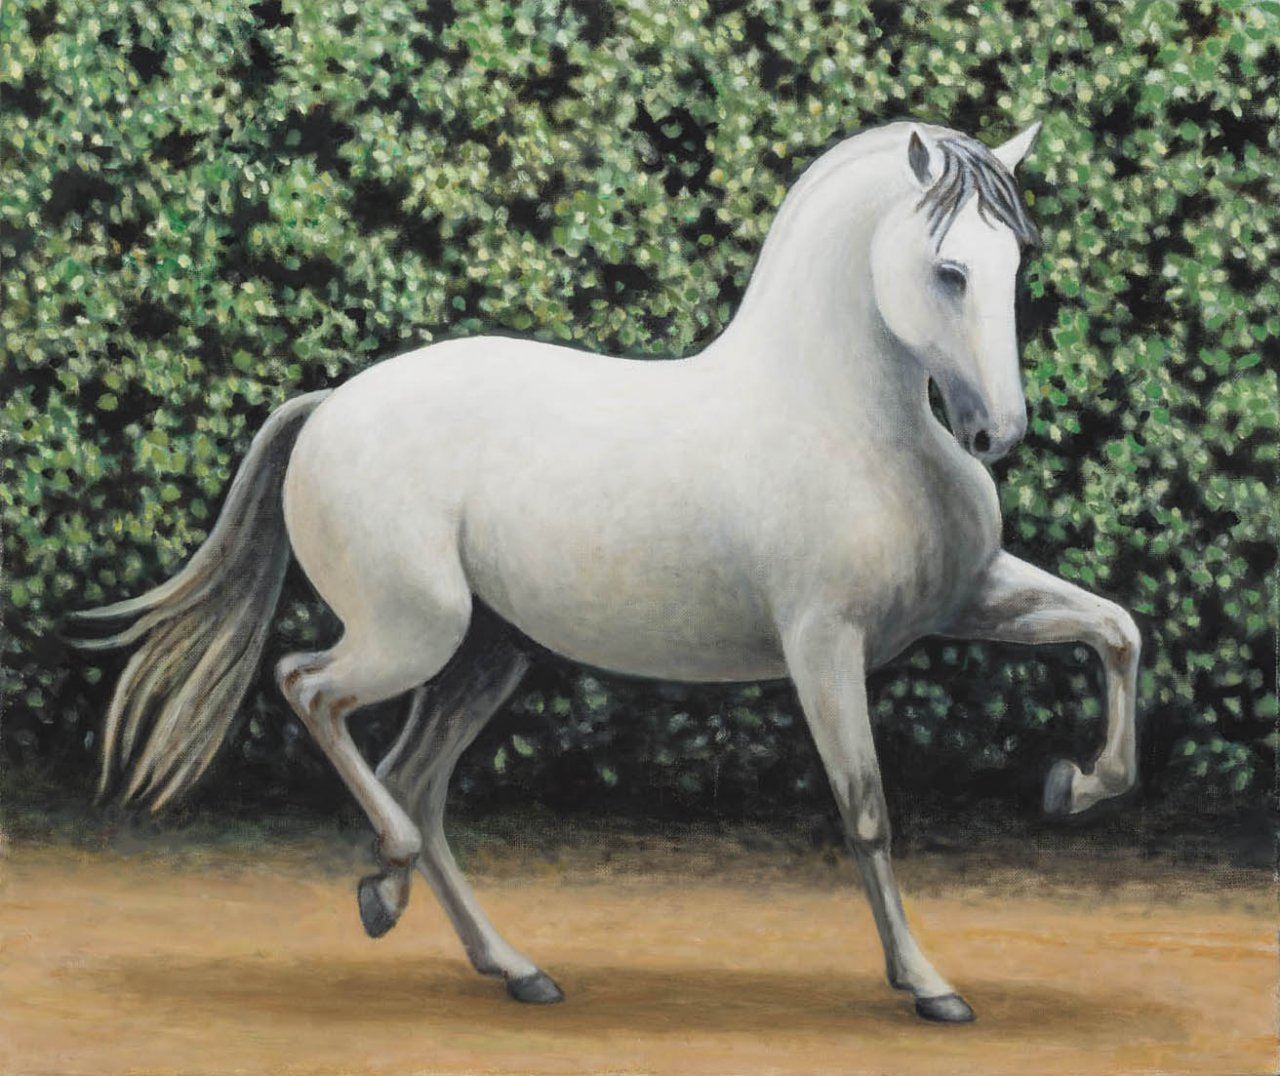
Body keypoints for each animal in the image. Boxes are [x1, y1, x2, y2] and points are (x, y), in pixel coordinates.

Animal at [73, 120, 1141, 1023]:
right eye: (949, 270)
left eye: (1017, 262)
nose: (998, 434)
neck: (853, 427)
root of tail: (329, 404)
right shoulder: (824, 645)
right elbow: (867, 808)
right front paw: (928, 987)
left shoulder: (966, 598)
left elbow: (1116, 630)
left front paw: (1072, 787)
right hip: (413, 634)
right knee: (311, 691)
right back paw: (393, 884)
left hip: (489, 655)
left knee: (416, 780)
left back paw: (498, 960)